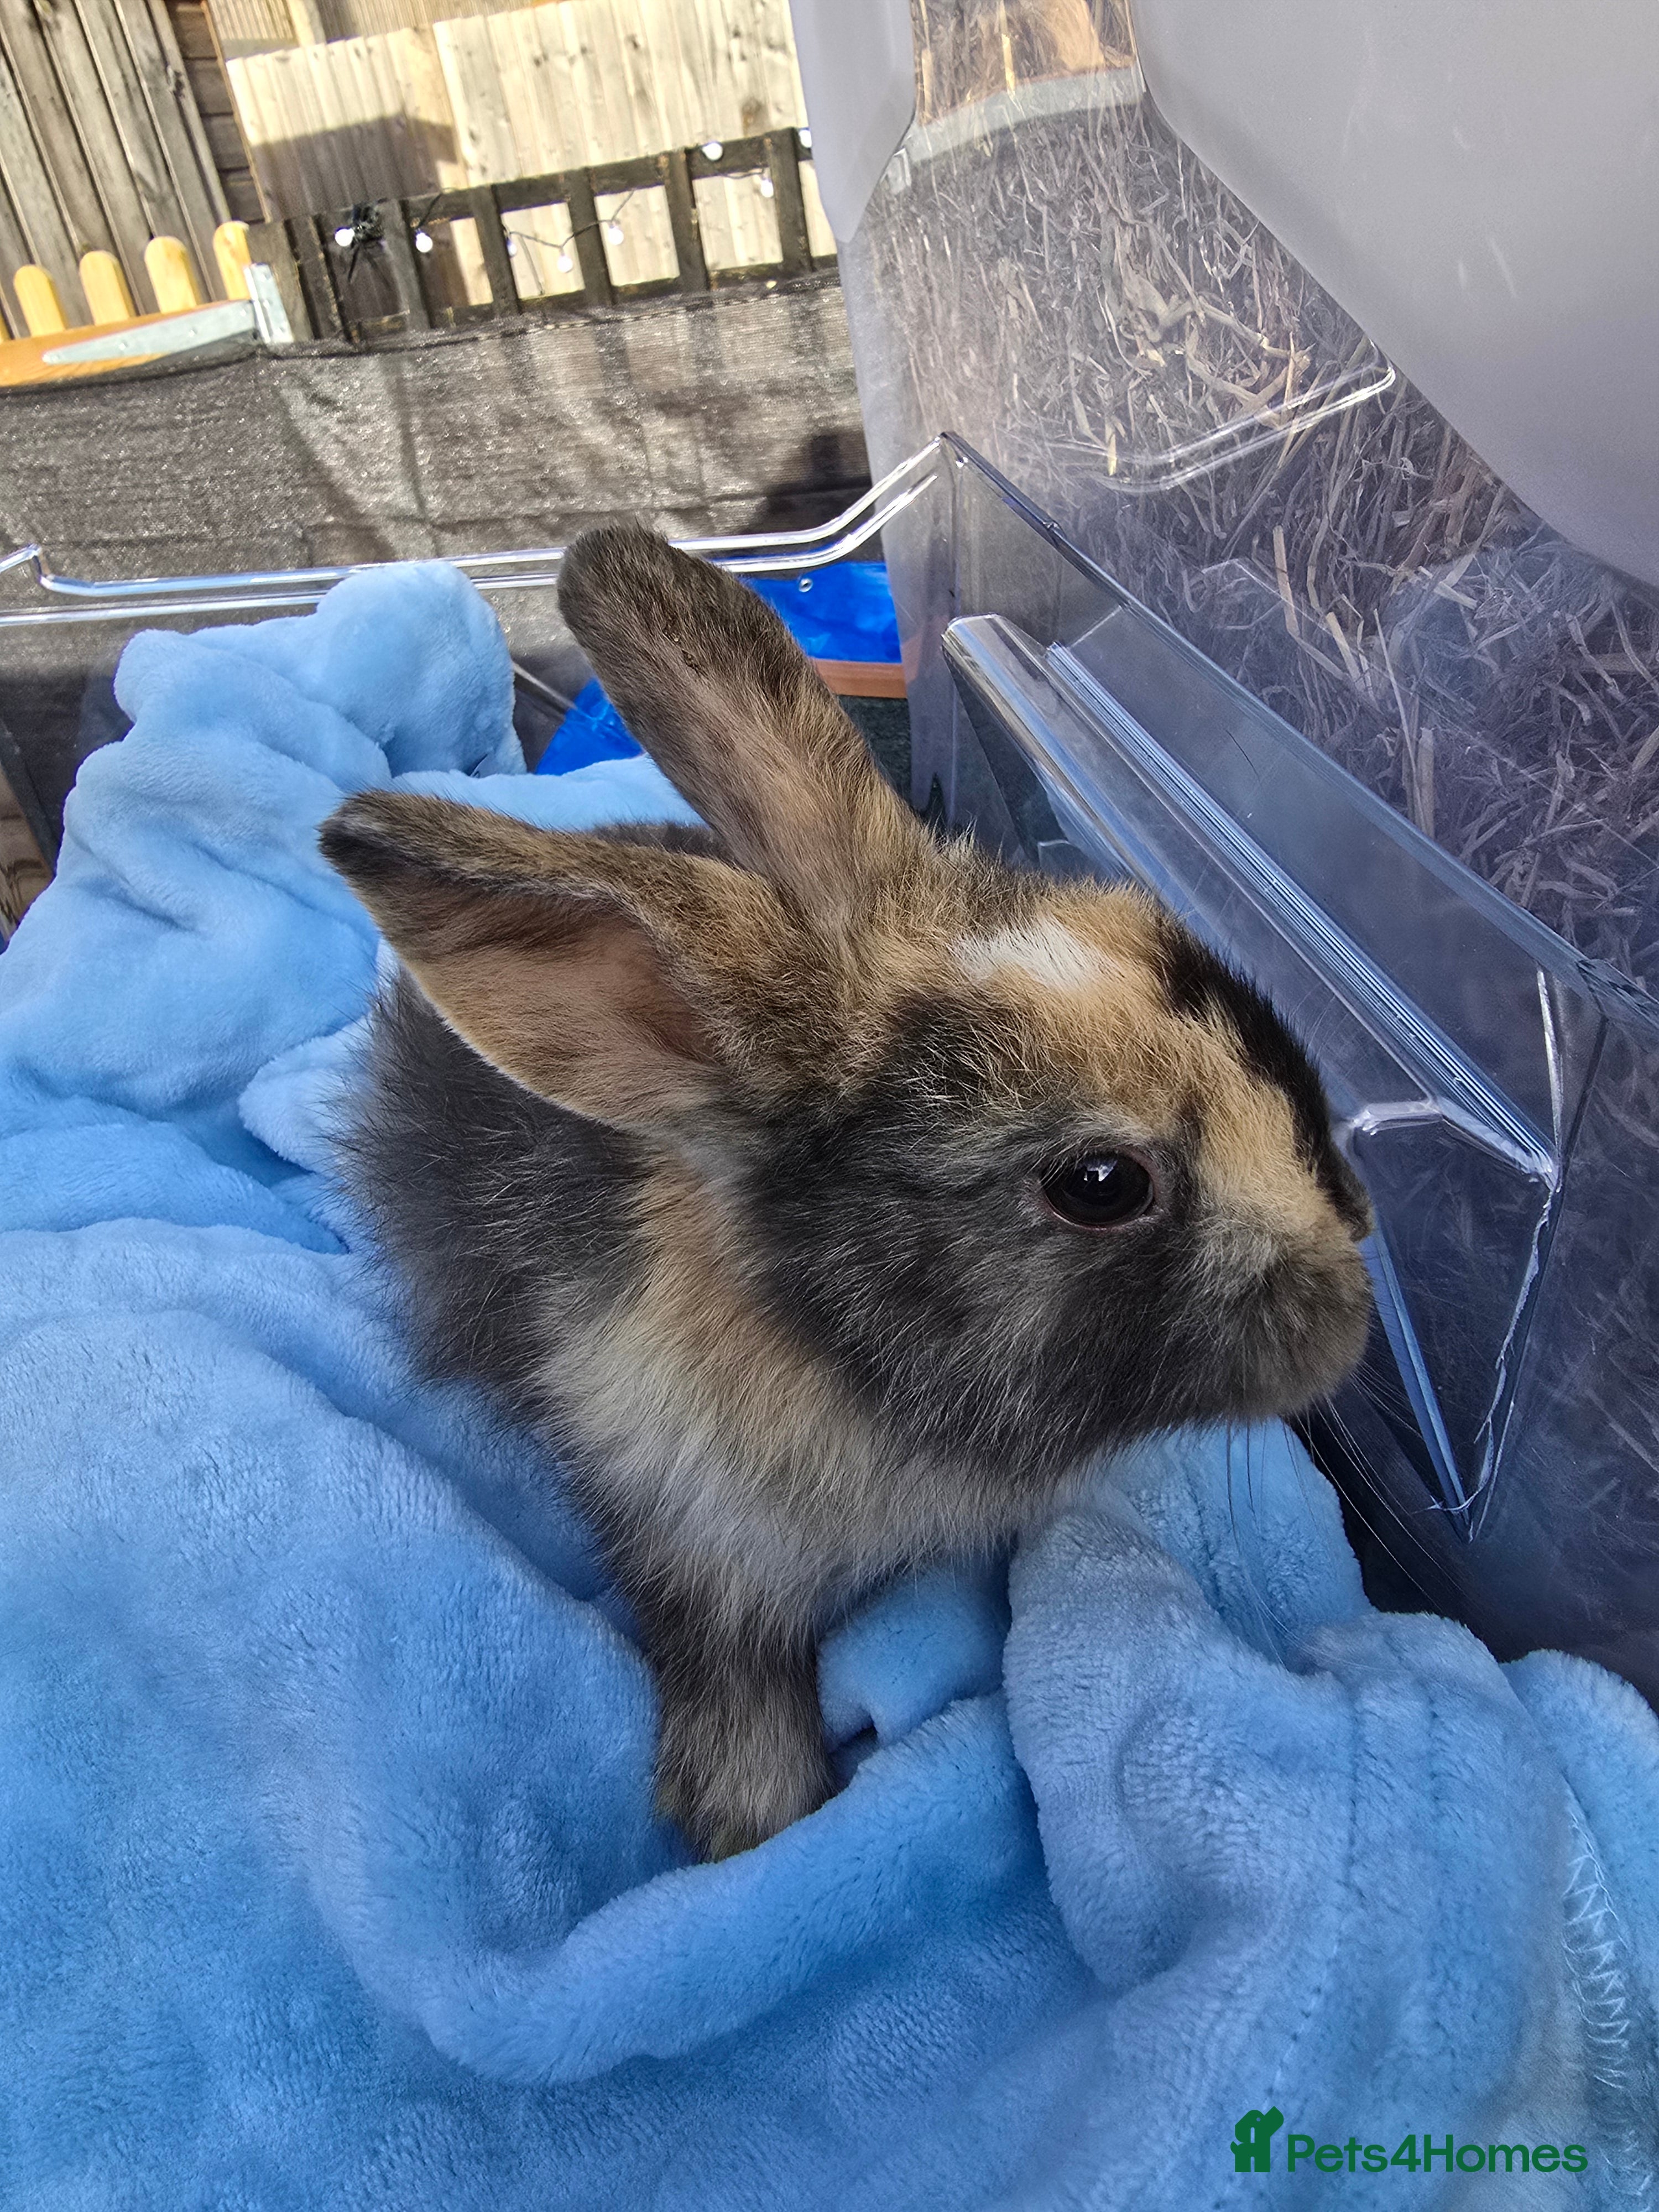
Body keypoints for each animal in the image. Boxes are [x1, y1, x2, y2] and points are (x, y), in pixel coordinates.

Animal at [319, 525, 1374, 1860]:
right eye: (1100, 1184)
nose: (1354, 1314)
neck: (837, 1347)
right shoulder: (695, 1538)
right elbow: (732, 1682)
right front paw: (751, 1822)